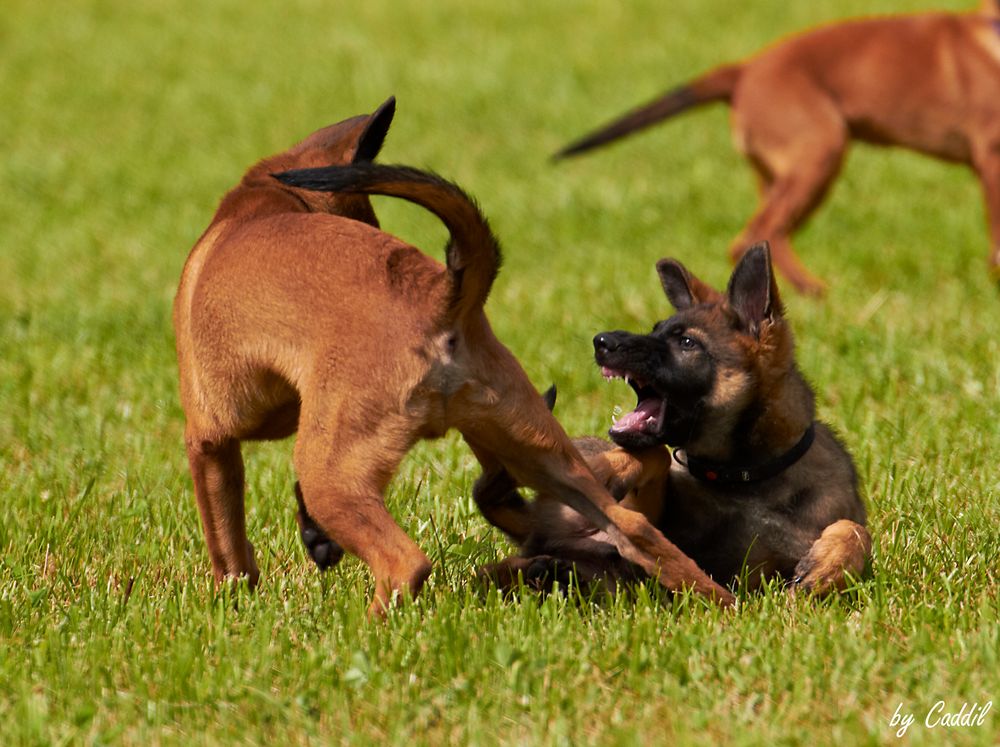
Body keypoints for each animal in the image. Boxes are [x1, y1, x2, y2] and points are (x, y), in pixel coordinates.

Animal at [172, 96, 736, 616]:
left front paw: (229, 604)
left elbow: (227, 544)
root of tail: (441, 294)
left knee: (404, 563)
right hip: (538, 454)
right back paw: (721, 605)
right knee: (634, 530)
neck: (271, 201)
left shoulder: (208, 441)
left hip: (330, 472)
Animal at [474, 244, 868, 596]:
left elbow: (857, 532)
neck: (745, 479)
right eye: (655, 330)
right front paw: (610, 470)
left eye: (687, 343)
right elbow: (657, 455)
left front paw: (828, 566)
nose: (601, 341)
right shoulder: (649, 521)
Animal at [560, 8, 1000, 298]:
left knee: (766, 237)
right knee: (759, 234)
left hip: (786, 173)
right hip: (819, 157)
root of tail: (745, 69)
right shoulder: (992, 158)